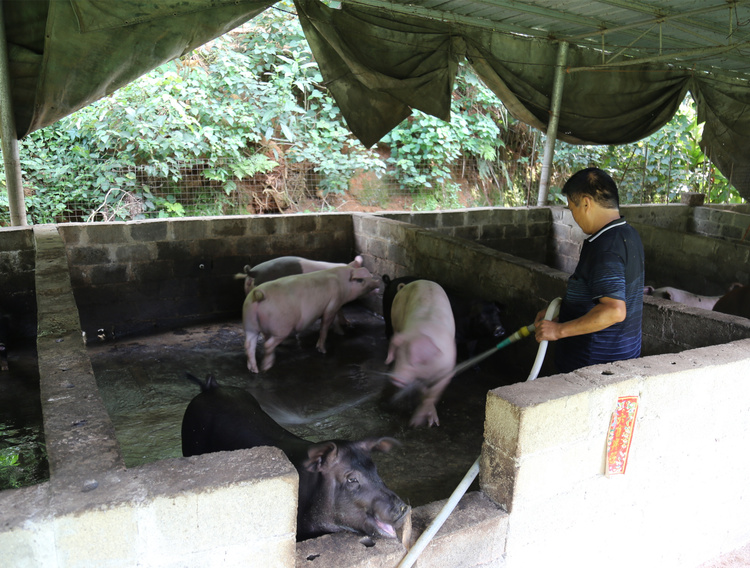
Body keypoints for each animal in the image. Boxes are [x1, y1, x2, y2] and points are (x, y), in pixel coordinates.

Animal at [244, 260, 378, 372]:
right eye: (361, 280)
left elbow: (335, 319)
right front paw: (323, 350)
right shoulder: (334, 303)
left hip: (250, 323)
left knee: (249, 345)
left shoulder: (335, 304)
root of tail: (259, 295)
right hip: (281, 327)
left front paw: (341, 332)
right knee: (267, 345)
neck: (343, 283)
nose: (377, 281)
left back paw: (254, 370)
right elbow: (325, 325)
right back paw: (266, 367)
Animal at [388, 280, 458, 426]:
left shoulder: (448, 371)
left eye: (413, 360)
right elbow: (423, 391)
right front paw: (416, 423)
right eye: (398, 355)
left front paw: (429, 423)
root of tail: (406, 285)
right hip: (395, 317)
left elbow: (433, 394)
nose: (395, 378)